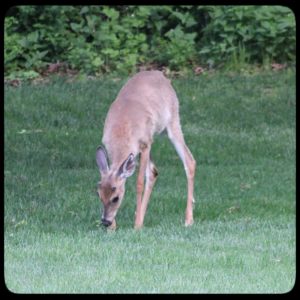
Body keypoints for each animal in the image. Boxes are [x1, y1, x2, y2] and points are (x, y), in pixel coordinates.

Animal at [95, 70, 196, 230]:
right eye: (99, 195)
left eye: (116, 198)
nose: (105, 221)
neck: (121, 134)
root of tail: (160, 74)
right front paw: (113, 227)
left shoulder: (145, 143)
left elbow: (139, 183)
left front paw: (136, 226)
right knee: (154, 171)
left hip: (173, 121)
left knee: (189, 161)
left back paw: (188, 219)